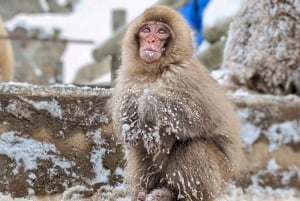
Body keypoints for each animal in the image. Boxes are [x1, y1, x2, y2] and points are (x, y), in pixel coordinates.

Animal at [111, 5, 243, 200]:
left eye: (161, 32)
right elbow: (126, 116)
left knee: (192, 146)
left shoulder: (184, 75)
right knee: (138, 147)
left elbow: (200, 116)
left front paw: (148, 107)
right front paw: (130, 107)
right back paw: (145, 193)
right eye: (146, 30)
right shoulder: (127, 77)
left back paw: (180, 195)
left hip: (220, 177)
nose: (151, 40)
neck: (154, 71)